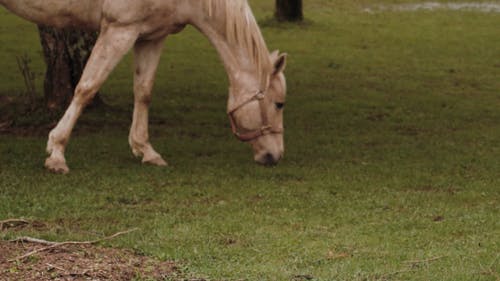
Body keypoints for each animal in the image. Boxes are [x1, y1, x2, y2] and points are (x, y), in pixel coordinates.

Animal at [0, 0, 290, 173]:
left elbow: (144, 91)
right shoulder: (120, 29)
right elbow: (87, 88)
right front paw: (57, 153)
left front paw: (145, 150)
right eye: (279, 104)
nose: (275, 155)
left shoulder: (150, 36)